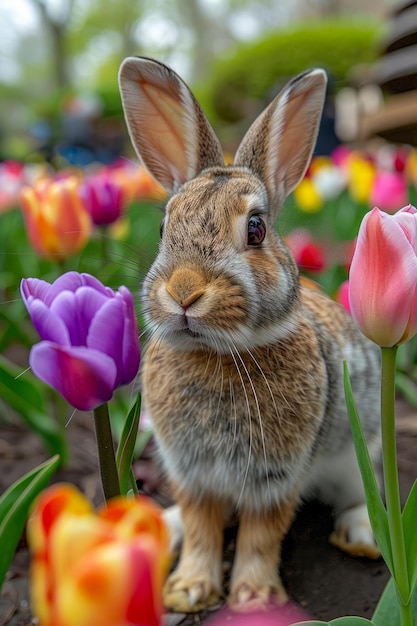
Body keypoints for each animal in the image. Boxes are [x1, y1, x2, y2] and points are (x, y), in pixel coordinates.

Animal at [117, 56, 380, 612]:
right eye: (163, 229)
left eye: (255, 229)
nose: (185, 291)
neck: (219, 353)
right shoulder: (192, 474)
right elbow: (201, 528)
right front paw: (188, 591)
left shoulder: (274, 477)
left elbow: (262, 534)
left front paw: (253, 598)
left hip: (357, 450)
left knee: (358, 494)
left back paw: (362, 537)